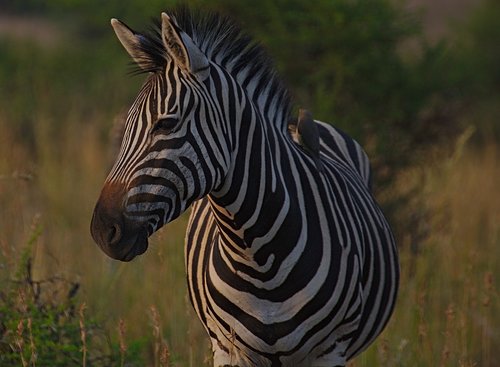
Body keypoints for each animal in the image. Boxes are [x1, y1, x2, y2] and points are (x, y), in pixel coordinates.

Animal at [91, 8, 398, 367]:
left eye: (166, 124)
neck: (260, 258)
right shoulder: (228, 349)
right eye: (125, 127)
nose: (102, 230)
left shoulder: (330, 351)